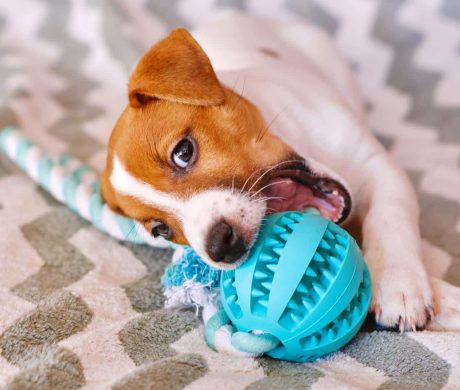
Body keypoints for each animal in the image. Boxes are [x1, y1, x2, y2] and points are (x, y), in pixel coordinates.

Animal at [101, 15, 434, 332]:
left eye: (183, 152)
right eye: (160, 230)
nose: (220, 247)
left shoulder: (380, 167)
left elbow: (389, 216)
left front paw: (399, 285)